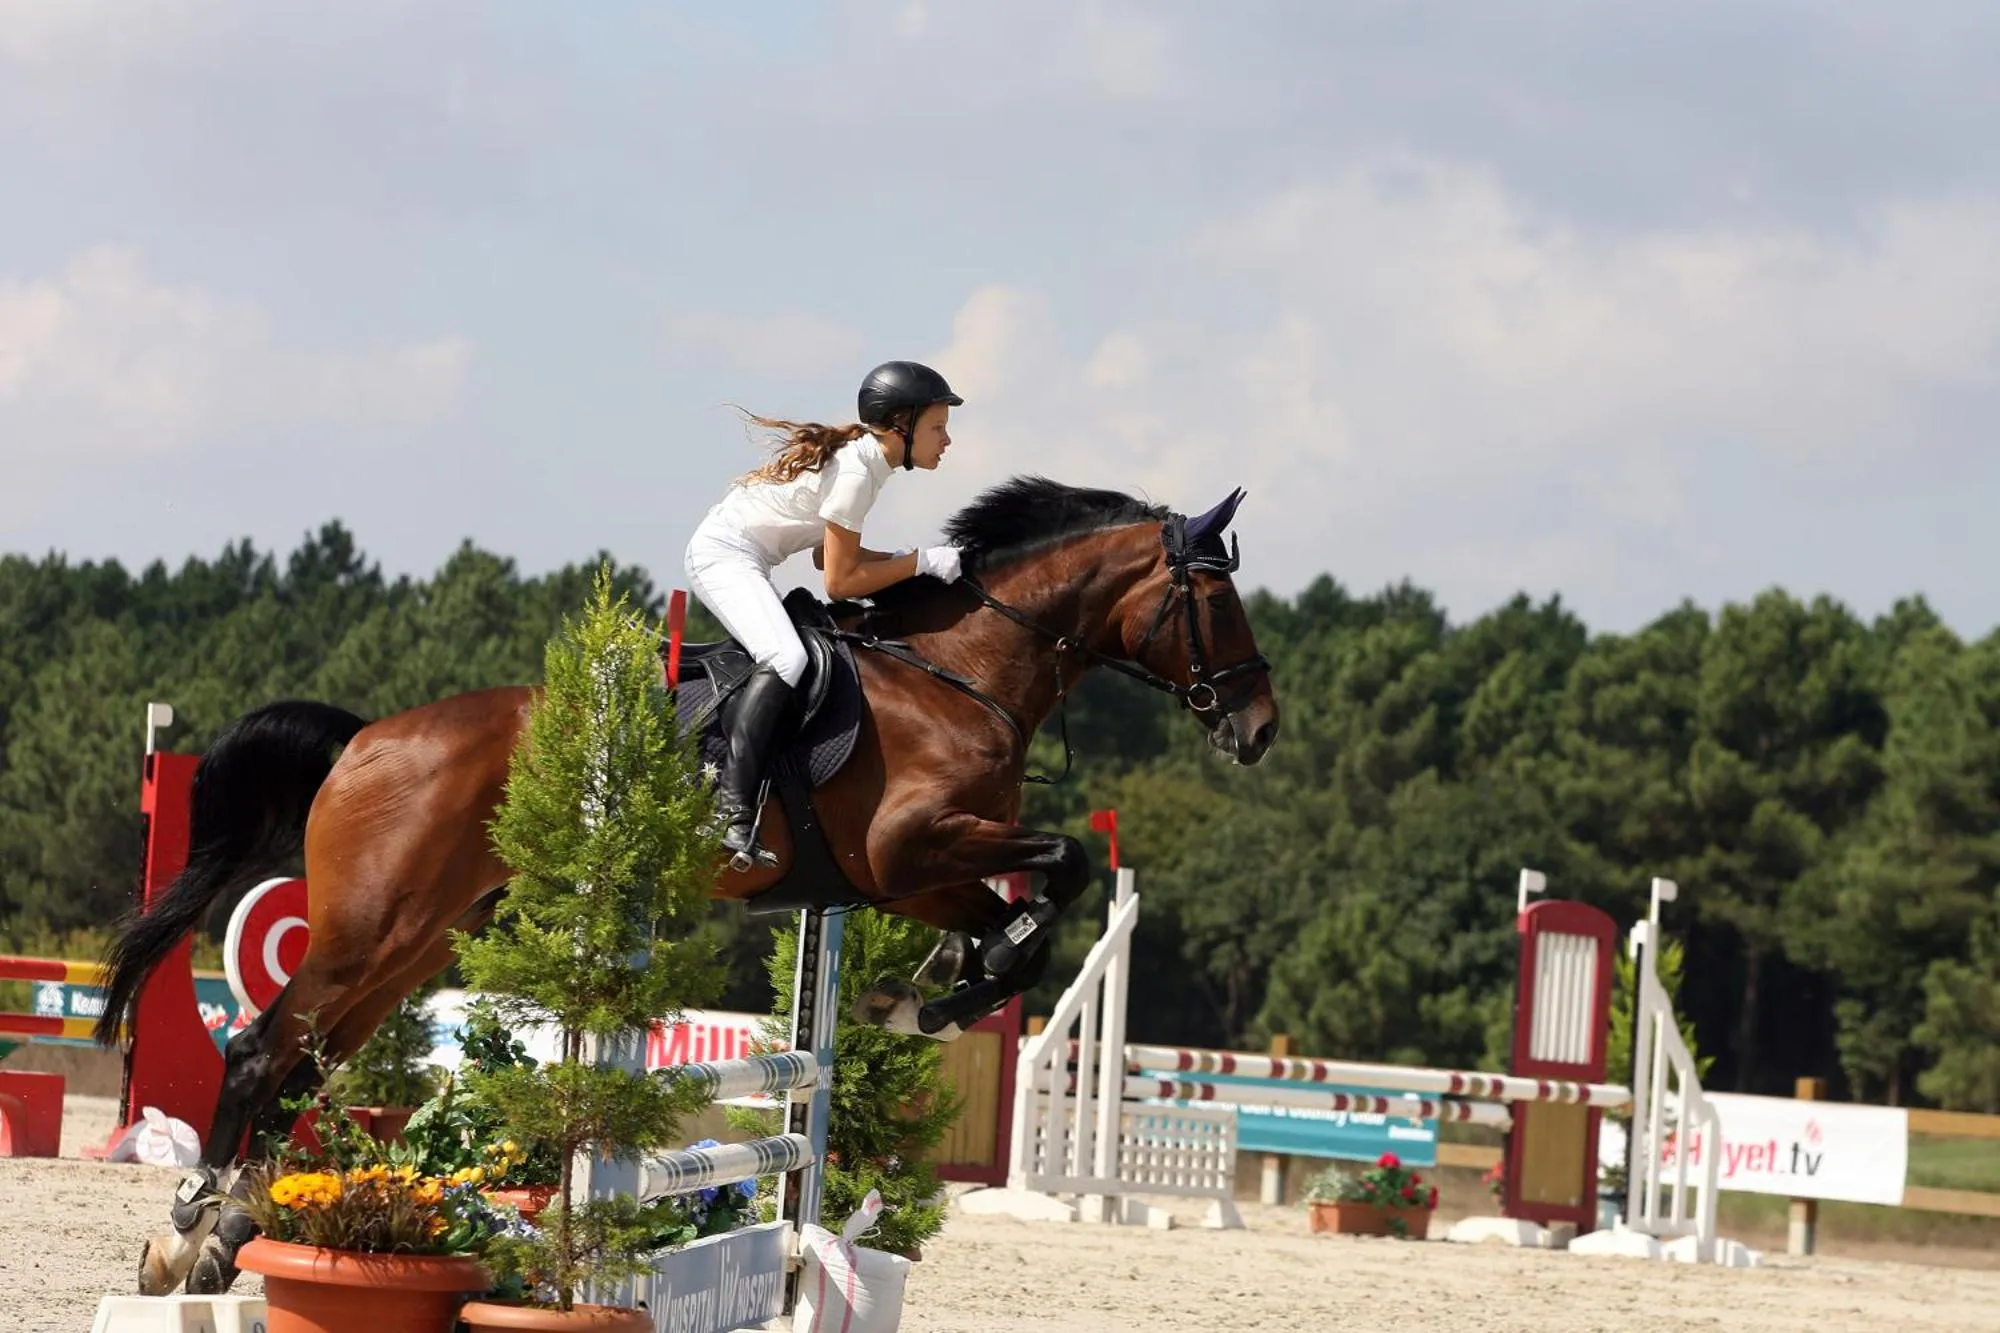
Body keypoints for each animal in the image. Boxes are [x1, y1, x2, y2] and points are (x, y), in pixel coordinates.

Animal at [91, 474, 1280, 1296]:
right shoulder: (908, 848)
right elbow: (1064, 864)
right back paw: (191, 1225)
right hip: (373, 925)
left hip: (416, 937)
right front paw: (947, 989)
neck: (963, 671)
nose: (1259, 728)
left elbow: (1026, 902)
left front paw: (934, 987)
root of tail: (361, 739)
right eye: (1217, 603)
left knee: (304, 1066)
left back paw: (219, 1237)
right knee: (261, 1052)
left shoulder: (901, 874)